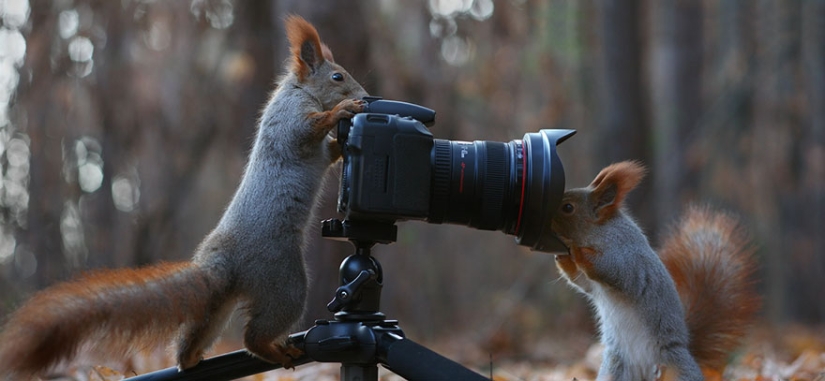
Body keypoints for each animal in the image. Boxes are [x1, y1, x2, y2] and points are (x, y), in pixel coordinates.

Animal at [0, 15, 366, 378]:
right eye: (337, 76)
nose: (364, 94)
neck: (299, 90)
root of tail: (224, 264)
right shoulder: (291, 121)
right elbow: (308, 129)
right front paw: (343, 109)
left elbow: (329, 152)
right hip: (285, 282)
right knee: (253, 337)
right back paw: (276, 350)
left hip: (219, 304)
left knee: (201, 330)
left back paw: (188, 359)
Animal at [552, 160, 756, 380]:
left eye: (568, 207)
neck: (598, 230)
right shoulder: (591, 283)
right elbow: (581, 280)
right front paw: (563, 256)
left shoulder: (625, 257)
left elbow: (609, 268)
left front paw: (575, 249)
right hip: (615, 370)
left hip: (676, 369)